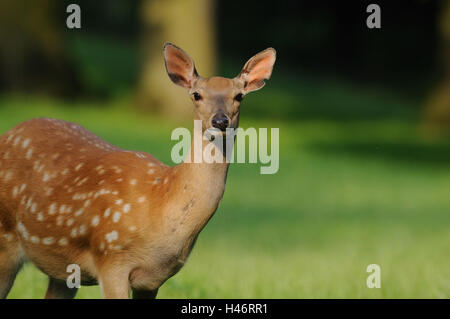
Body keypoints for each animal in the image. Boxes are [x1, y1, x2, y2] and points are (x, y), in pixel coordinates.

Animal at [0, 43, 276, 300]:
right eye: (196, 94)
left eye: (239, 96)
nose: (220, 121)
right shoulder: (111, 258)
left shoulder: (152, 281)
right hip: (6, 239)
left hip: (62, 269)